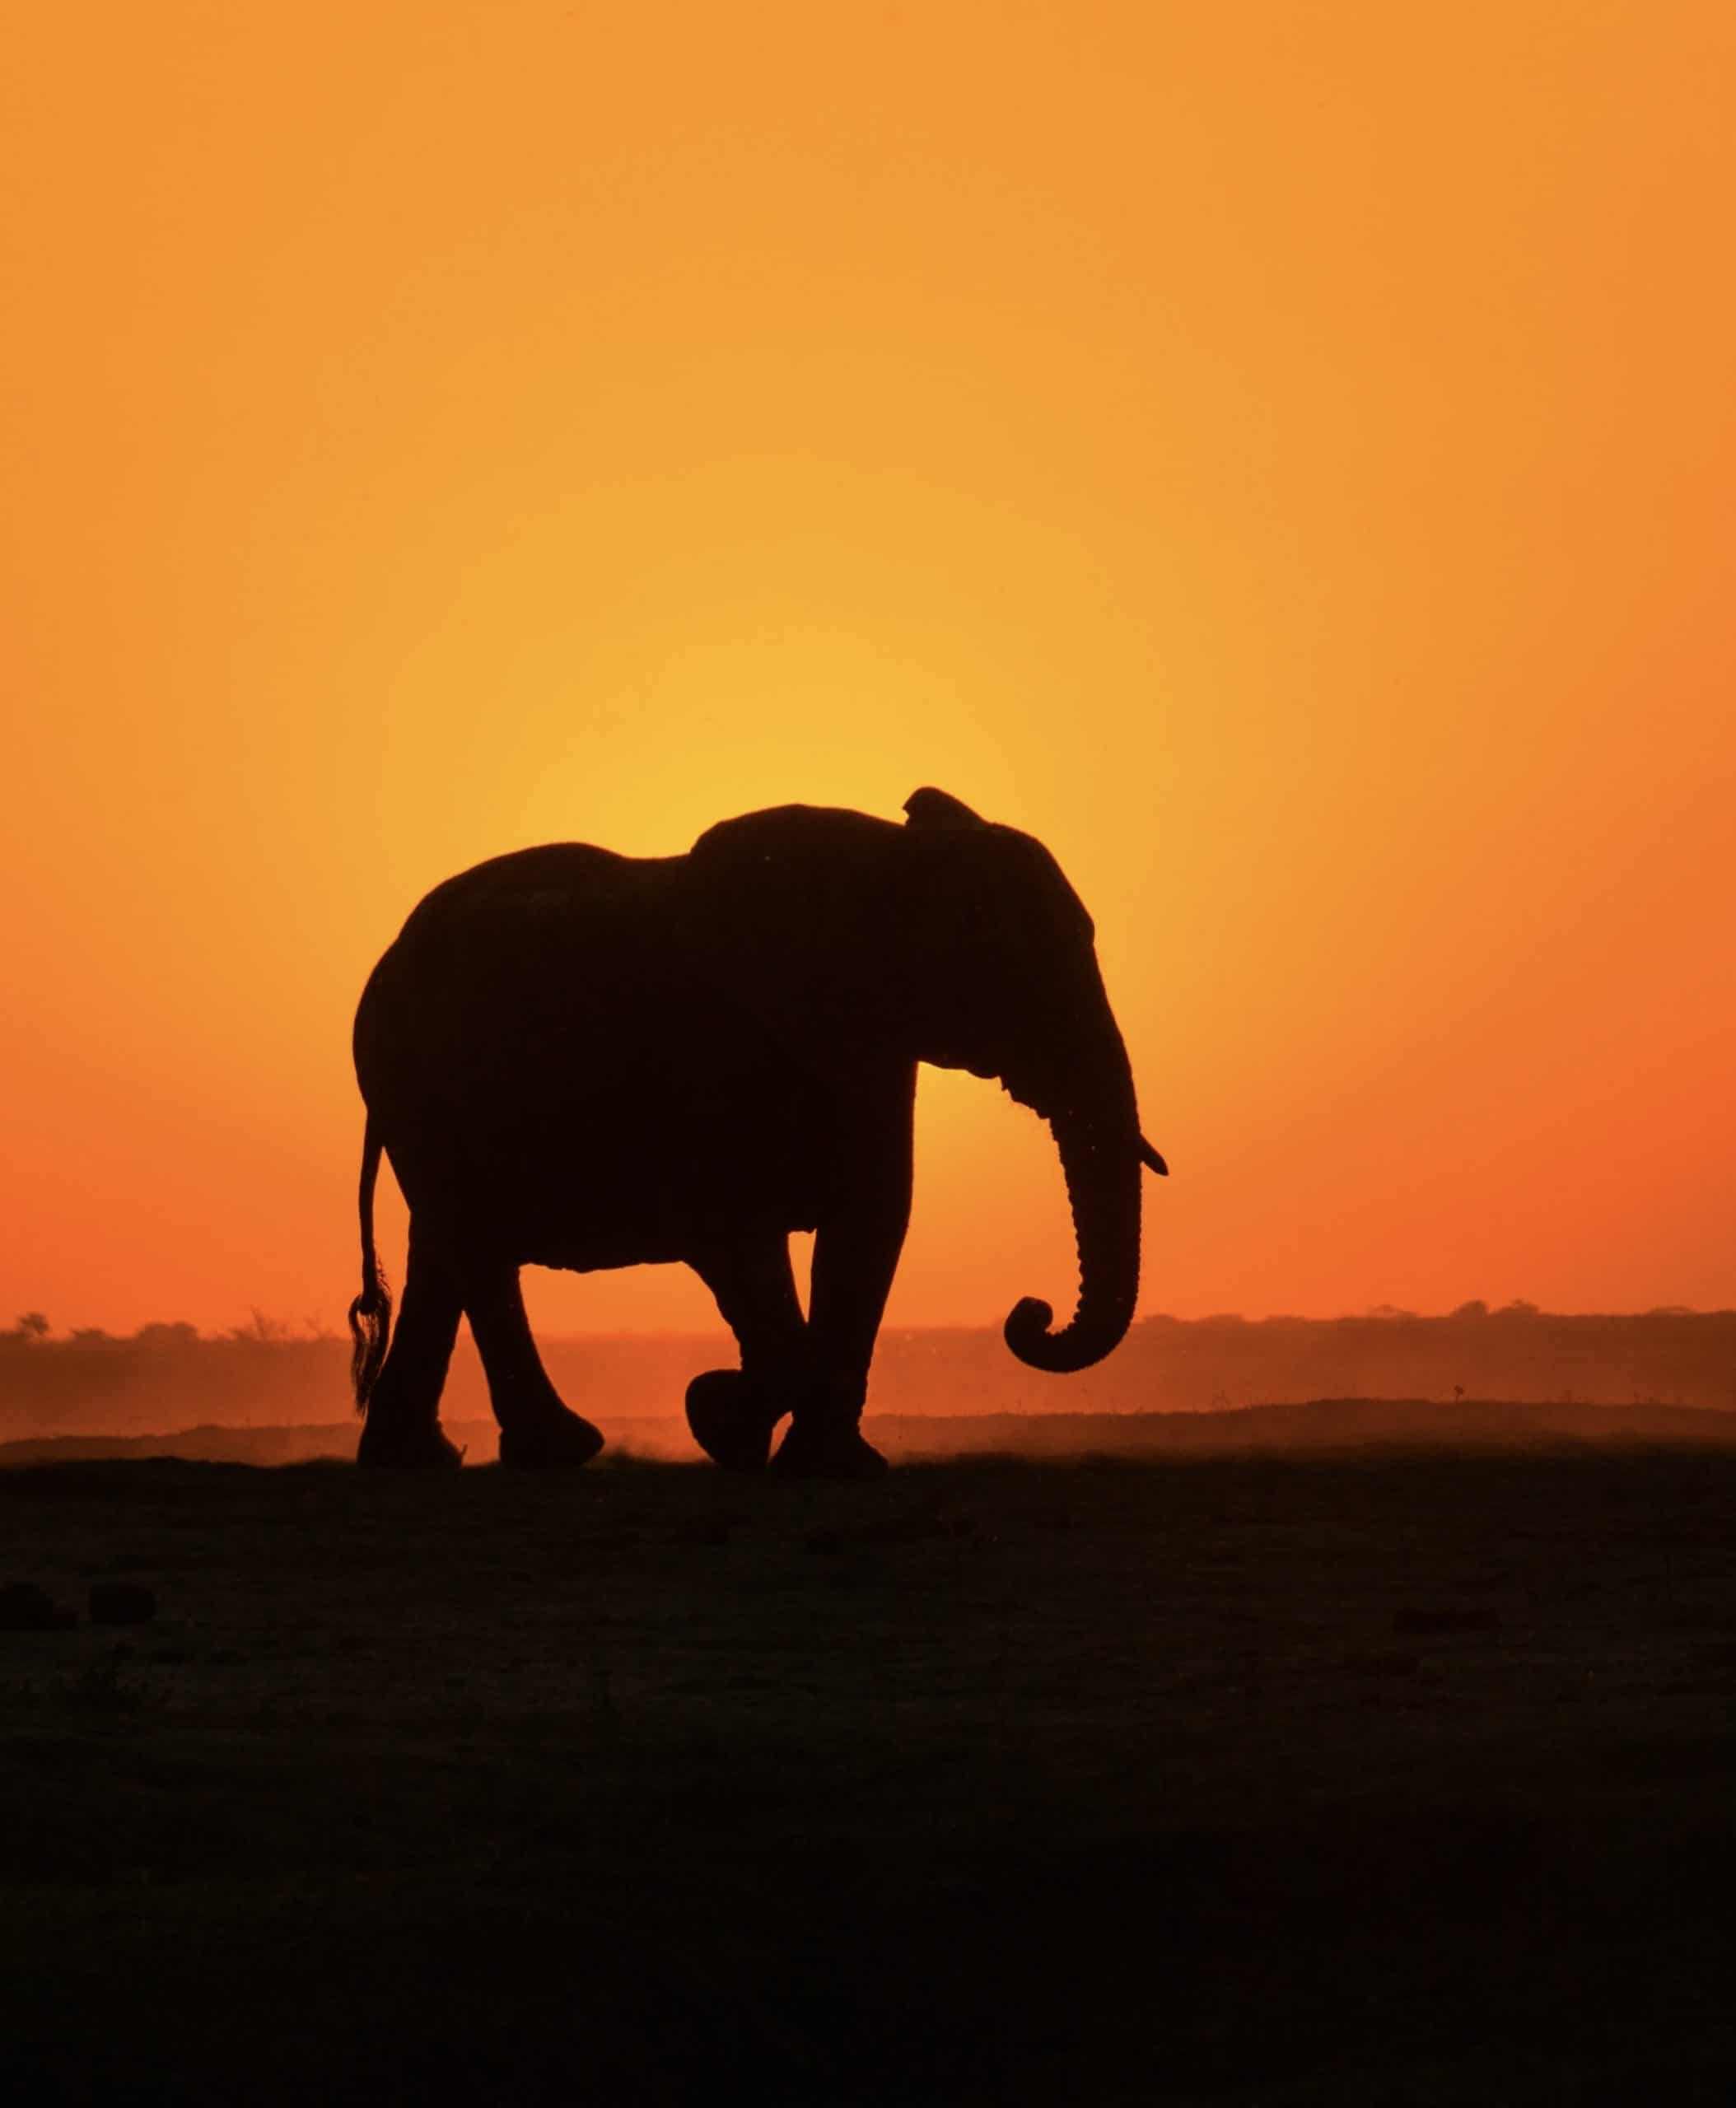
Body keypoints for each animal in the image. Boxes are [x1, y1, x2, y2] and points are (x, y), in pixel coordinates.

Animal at [346, 787, 1166, 1476]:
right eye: (1006, 966)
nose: (1031, 1313)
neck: (889, 862)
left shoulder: (870, 1050)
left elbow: (870, 1225)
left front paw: (828, 1465)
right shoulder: (718, 1051)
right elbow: (734, 1233)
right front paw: (719, 1417)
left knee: (444, 1249)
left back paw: (419, 1460)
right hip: (413, 1082)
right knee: (474, 1247)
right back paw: (556, 1450)